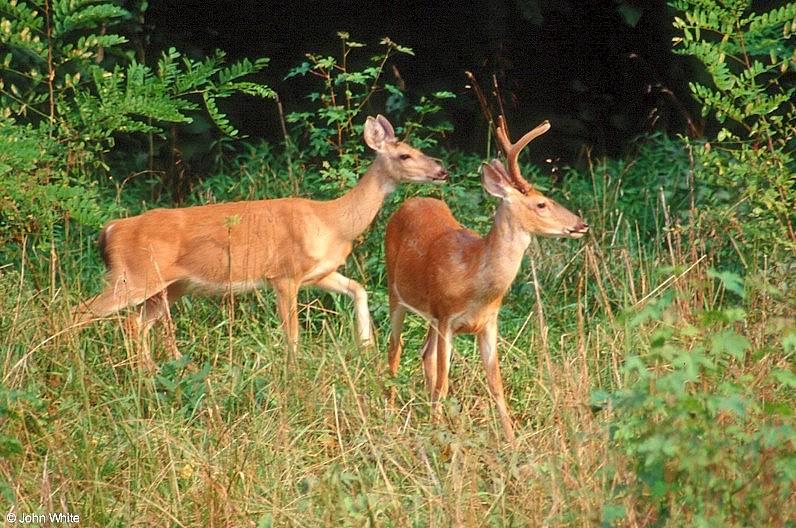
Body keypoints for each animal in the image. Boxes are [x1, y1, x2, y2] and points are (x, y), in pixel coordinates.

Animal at [74, 114, 448, 372]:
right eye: (404, 156)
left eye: (419, 150)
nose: (441, 171)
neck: (333, 222)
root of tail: (110, 229)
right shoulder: (283, 274)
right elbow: (293, 332)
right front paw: (294, 371)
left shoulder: (318, 273)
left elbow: (359, 289)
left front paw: (367, 345)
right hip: (133, 276)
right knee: (82, 312)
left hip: (168, 286)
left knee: (135, 323)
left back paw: (157, 371)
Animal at [386, 115, 584, 442]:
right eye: (541, 204)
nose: (581, 224)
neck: (475, 278)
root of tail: (411, 201)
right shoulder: (447, 318)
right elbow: (444, 382)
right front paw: (438, 436)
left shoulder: (488, 322)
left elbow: (496, 385)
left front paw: (512, 440)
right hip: (396, 293)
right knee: (395, 350)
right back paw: (390, 411)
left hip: (429, 314)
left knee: (424, 354)